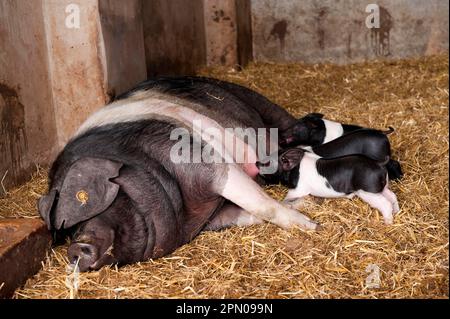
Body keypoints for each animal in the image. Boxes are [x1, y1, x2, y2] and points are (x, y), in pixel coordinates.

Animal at [38, 77, 320, 272]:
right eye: (68, 231)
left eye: (86, 201)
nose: (74, 249)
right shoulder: (211, 220)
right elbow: (248, 214)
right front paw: (304, 207)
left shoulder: (203, 160)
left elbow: (261, 204)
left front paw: (311, 225)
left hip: (258, 101)